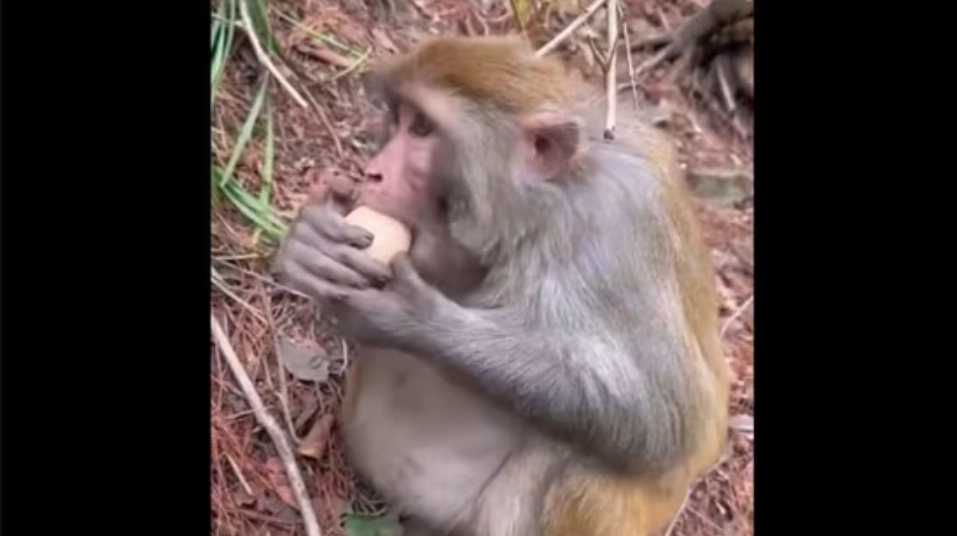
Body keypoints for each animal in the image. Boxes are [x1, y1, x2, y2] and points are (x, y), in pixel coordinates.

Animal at [274, 36, 730, 536]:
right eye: (397, 120)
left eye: (422, 129)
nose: (373, 173)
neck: (547, 204)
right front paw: (310, 242)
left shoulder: (616, 225)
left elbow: (666, 419)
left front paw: (416, 320)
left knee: (581, 462)